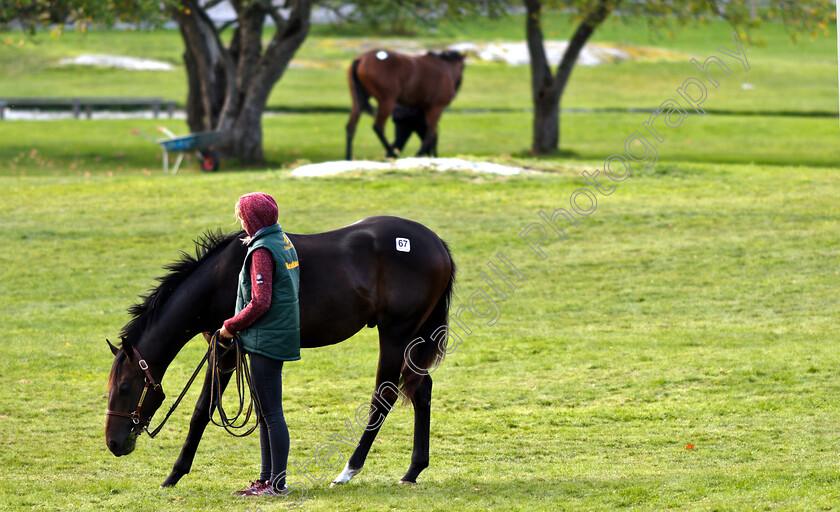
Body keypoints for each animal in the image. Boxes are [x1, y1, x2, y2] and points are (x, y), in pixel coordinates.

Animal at [109, 215, 460, 488]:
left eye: (125, 387)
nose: (113, 443)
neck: (219, 278)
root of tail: (435, 243)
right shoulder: (241, 350)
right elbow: (261, 412)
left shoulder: (225, 350)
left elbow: (201, 411)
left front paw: (174, 474)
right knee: (421, 390)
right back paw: (413, 470)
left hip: (396, 334)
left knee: (384, 396)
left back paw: (348, 470)